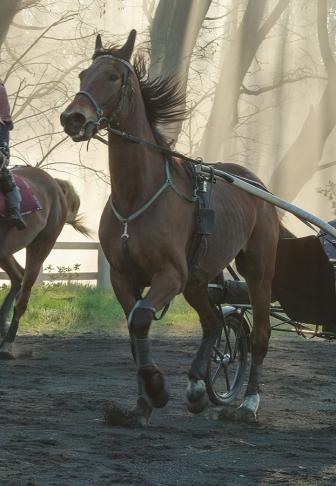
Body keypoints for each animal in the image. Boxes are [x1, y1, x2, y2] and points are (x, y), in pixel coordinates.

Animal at [0, 165, 89, 358]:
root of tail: (54, 183)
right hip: (6, 252)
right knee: (18, 276)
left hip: (42, 243)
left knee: (23, 295)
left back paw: (6, 345)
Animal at [61, 31, 282, 426]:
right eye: (84, 74)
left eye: (113, 77)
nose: (72, 118)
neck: (137, 195)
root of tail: (256, 184)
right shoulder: (124, 277)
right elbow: (135, 331)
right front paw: (141, 406)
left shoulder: (170, 274)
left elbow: (141, 319)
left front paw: (158, 389)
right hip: (197, 278)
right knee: (212, 322)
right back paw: (197, 388)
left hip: (257, 269)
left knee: (259, 332)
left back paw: (248, 404)